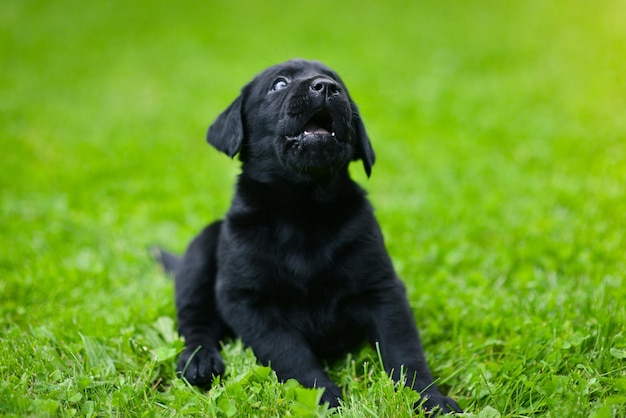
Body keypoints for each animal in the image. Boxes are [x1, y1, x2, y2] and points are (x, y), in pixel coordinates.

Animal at [155, 58, 458, 414]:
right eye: (279, 84)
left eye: (339, 84)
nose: (326, 87)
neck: (304, 211)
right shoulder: (249, 302)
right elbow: (292, 355)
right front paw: (325, 398)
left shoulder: (382, 289)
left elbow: (404, 350)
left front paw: (429, 398)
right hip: (201, 253)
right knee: (195, 321)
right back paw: (200, 361)